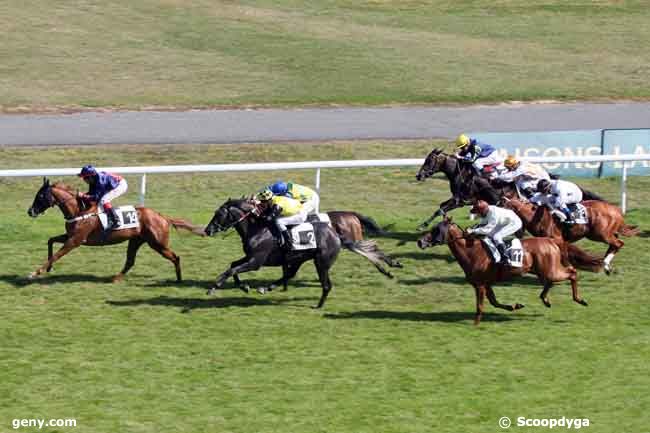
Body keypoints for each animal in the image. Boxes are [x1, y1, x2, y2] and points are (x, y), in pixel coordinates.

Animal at [26, 178, 204, 280]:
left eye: (40, 196)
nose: (30, 211)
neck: (79, 210)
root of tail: (162, 216)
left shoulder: (75, 241)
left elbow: (56, 255)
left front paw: (35, 272)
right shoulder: (70, 236)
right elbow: (50, 241)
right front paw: (48, 269)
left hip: (158, 243)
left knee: (175, 257)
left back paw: (179, 279)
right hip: (136, 241)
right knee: (130, 261)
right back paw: (115, 278)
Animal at [205, 198, 392, 308]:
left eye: (218, 214)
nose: (207, 230)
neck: (257, 227)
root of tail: (336, 235)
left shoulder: (256, 262)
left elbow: (232, 269)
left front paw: (214, 287)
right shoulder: (250, 257)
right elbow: (233, 265)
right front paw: (243, 286)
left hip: (321, 262)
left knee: (326, 285)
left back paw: (318, 305)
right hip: (300, 258)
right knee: (291, 274)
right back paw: (267, 287)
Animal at [418, 218, 584, 326]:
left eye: (436, 230)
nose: (420, 241)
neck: (471, 251)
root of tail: (551, 240)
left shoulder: (479, 285)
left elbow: (480, 306)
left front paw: (475, 324)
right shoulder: (486, 284)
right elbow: (494, 302)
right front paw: (515, 306)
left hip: (549, 270)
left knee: (572, 272)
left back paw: (579, 299)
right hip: (542, 270)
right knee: (551, 282)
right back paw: (545, 299)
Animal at [502, 197, 636, 274]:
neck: (536, 217)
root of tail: (616, 210)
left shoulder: (558, 240)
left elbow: (564, 256)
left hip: (601, 234)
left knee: (618, 243)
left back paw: (606, 264)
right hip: (600, 234)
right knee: (614, 245)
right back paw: (605, 266)